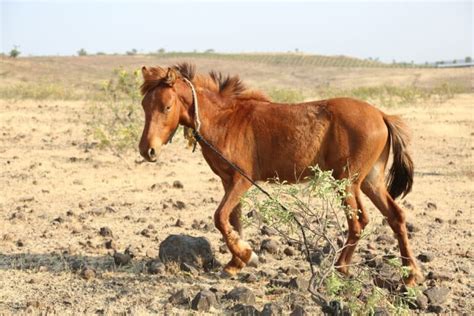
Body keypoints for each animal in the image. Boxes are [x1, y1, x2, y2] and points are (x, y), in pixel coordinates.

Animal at [137, 63, 422, 286]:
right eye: (144, 105)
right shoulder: (229, 182)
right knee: (395, 216)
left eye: (167, 106)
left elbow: (219, 217)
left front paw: (248, 255)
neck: (225, 120)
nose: (147, 150)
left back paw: (341, 268)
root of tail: (382, 115)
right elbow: (233, 220)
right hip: (371, 181)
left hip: (347, 182)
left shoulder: (242, 180)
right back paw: (410, 275)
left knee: (358, 222)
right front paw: (235, 263)